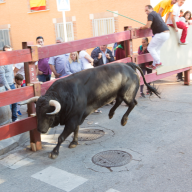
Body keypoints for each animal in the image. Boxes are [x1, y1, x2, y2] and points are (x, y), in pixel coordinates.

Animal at [21, 62, 160, 158]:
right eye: (37, 113)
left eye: (48, 114)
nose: (41, 130)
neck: (65, 95)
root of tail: (128, 64)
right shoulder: (77, 117)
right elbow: (76, 130)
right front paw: (74, 142)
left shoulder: (73, 119)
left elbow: (61, 137)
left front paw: (54, 152)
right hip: (120, 94)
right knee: (119, 101)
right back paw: (111, 113)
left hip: (127, 93)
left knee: (132, 104)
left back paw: (123, 120)